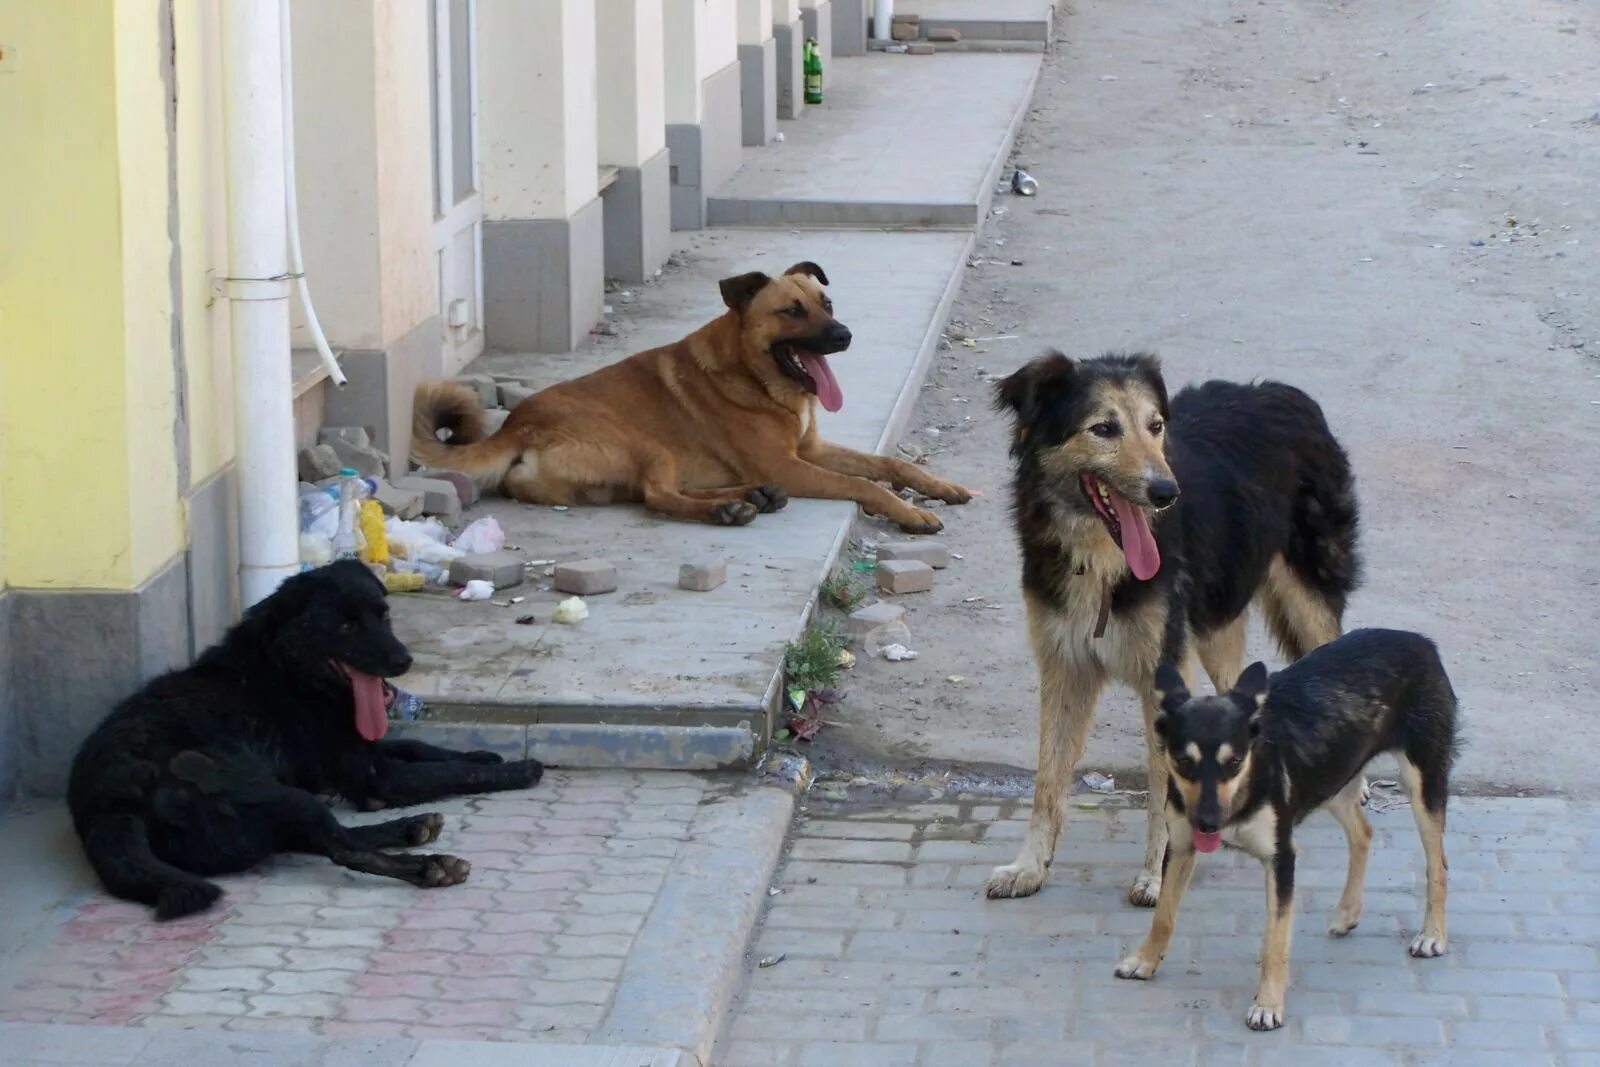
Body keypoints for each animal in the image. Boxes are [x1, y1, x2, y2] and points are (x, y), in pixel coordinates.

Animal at [67, 563, 544, 921]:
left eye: (384, 615)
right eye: (348, 625)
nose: (403, 661)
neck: (289, 670)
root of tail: (109, 806)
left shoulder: (357, 751)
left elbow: (423, 750)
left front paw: (482, 753)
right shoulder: (376, 776)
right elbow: (447, 771)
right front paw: (516, 769)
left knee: (321, 838)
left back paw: (412, 827)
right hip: (267, 791)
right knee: (343, 849)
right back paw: (429, 865)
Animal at [409, 262, 972, 534]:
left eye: (826, 303)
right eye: (791, 311)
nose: (845, 335)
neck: (753, 376)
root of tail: (515, 426)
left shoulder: (807, 452)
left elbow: (890, 464)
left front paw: (939, 486)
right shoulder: (793, 465)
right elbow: (866, 485)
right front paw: (910, 513)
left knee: (654, 493)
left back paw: (750, 497)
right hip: (645, 444)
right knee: (657, 496)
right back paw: (733, 508)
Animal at [985, 350, 1363, 908]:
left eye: (1155, 426)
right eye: (1104, 428)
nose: (1166, 493)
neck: (1101, 560)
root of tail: (1281, 391)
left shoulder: (1164, 672)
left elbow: (1162, 787)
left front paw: (1158, 876)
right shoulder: (1064, 667)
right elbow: (1047, 781)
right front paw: (1029, 867)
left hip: (1307, 596)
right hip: (1214, 623)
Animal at [1113, 630, 1465, 1030]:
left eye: (1234, 762)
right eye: (1184, 761)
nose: (1207, 823)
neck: (1246, 787)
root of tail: (1419, 640)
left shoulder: (1281, 859)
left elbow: (1274, 941)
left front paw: (1268, 1004)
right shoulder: (1181, 847)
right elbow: (1163, 916)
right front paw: (1145, 960)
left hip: (1422, 783)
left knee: (1437, 865)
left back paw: (1432, 935)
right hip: (1332, 778)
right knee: (1363, 832)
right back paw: (1347, 913)